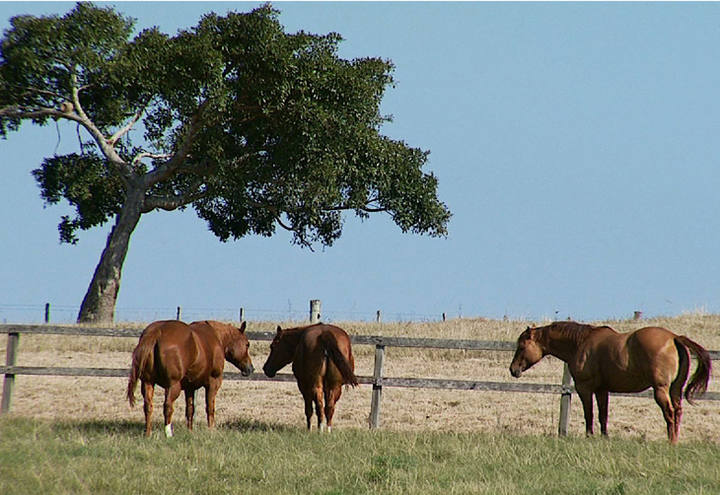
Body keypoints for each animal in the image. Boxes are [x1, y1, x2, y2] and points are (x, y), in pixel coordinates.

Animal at [510, 322, 712, 446]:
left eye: (522, 346)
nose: (513, 370)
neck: (580, 343)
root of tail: (674, 337)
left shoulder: (585, 389)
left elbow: (589, 414)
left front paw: (589, 436)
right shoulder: (602, 390)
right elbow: (603, 415)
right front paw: (604, 437)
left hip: (661, 390)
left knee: (669, 413)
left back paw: (671, 442)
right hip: (676, 390)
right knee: (677, 412)